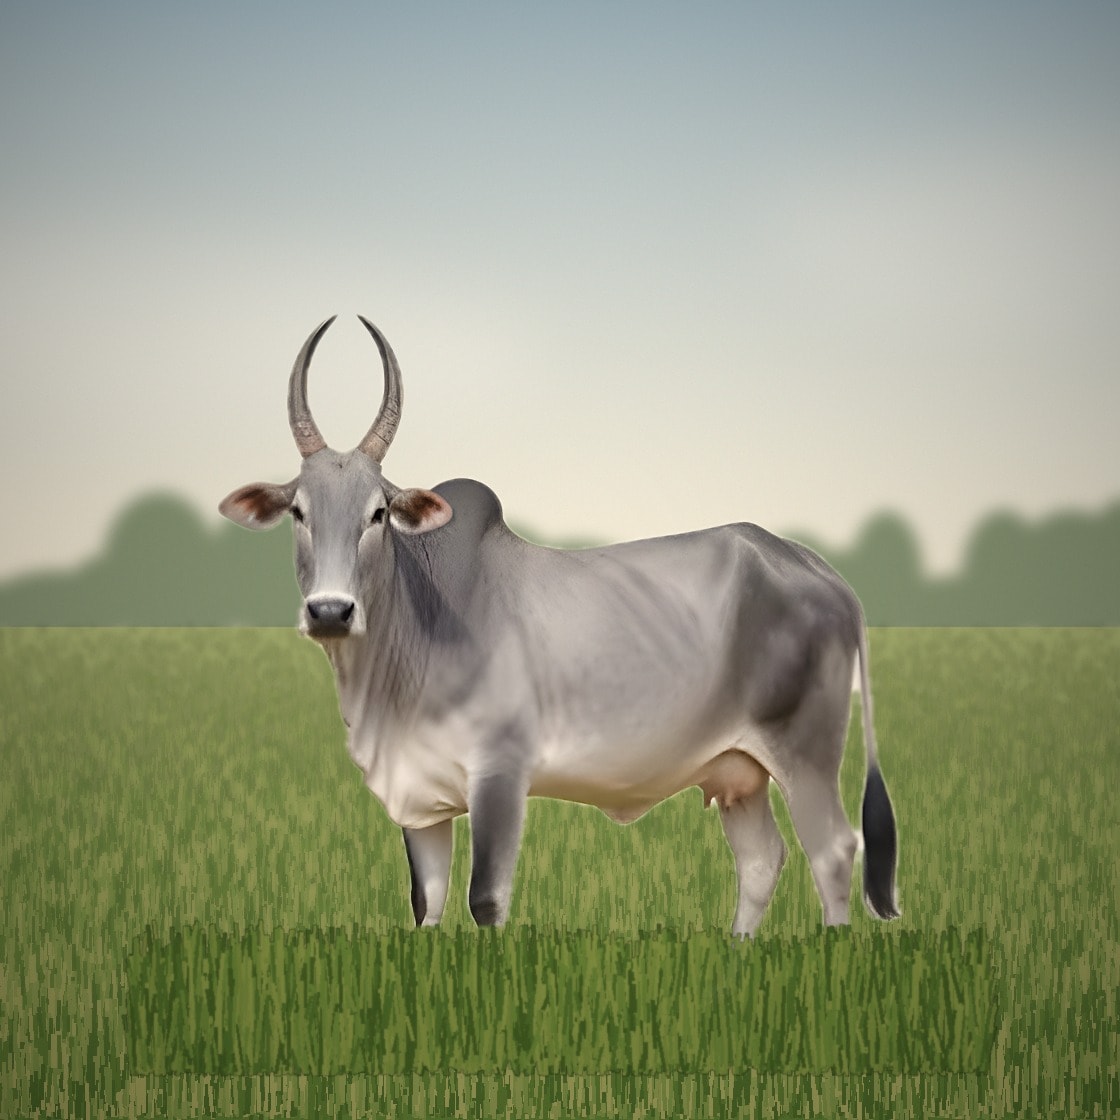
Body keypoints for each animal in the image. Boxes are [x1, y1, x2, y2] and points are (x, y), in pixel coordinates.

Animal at [220, 316, 899, 936]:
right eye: (298, 511)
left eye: (378, 513)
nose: (330, 612)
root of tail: (817, 569)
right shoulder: (420, 803)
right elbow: (427, 906)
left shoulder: (500, 773)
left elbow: (485, 900)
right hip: (738, 769)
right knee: (762, 859)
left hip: (805, 749)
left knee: (833, 851)